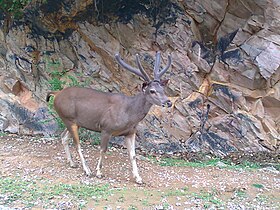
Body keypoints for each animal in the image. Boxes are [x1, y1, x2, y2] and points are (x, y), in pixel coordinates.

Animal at [46, 51, 171, 184]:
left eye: (163, 89)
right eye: (152, 90)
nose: (168, 102)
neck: (129, 115)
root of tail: (56, 94)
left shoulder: (131, 132)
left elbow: (133, 155)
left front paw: (138, 178)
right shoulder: (106, 128)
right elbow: (103, 149)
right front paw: (99, 172)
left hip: (74, 122)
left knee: (64, 137)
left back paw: (72, 163)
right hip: (68, 118)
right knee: (77, 144)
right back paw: (87, 170)